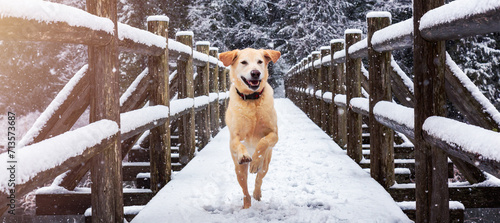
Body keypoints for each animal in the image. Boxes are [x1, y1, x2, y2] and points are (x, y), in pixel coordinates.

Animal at [219, 48, 282, 208]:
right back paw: (246, 206)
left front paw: (254, 161)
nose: (255, 73)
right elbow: (239, 144)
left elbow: (263, 142)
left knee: (259, 179)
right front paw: (245, 156)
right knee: (244, 190)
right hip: (239, 170)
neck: (252, 100)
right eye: (244, 62)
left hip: (266, 164)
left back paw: (257, 193)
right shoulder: (234, 137)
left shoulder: (274, 134)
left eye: (260, 62)